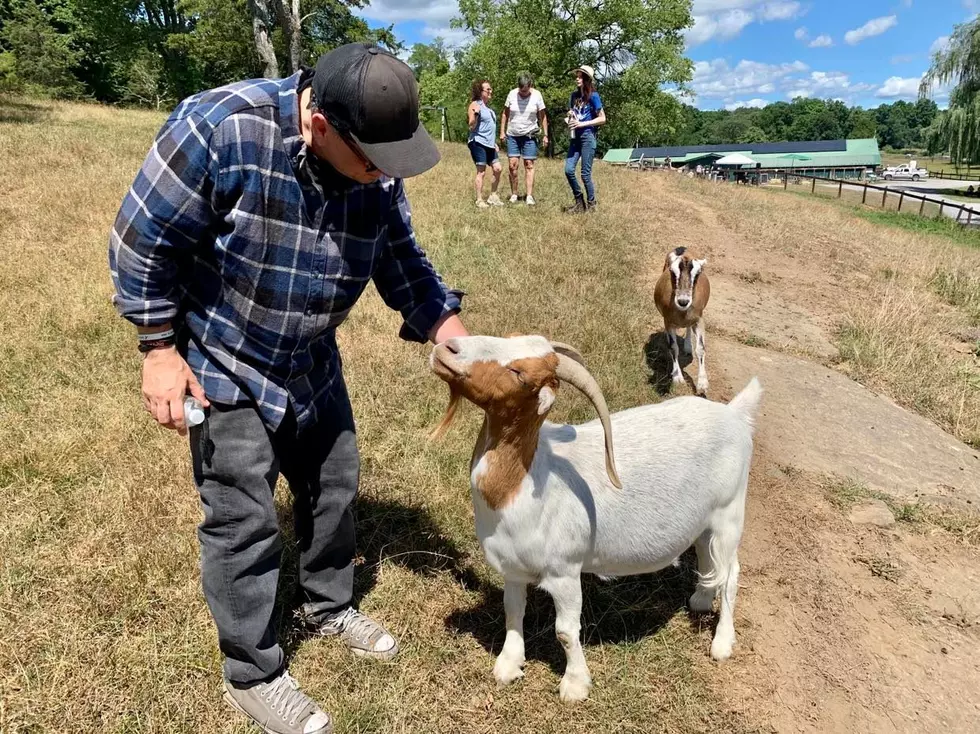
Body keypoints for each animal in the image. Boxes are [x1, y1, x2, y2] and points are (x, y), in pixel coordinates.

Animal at [432, 336, 760, 704]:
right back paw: (700, 601)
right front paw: (508, 665)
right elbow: (513, 610)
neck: (527, 482)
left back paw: (722, 643)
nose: (447, 348)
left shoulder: (565, 571)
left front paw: (575, 685)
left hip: (730, 513)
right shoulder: (512, 568)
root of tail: (733, 414)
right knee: (707, 558)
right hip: (705, 520)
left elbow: (565, 631)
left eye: (520, 374)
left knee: (731, 574)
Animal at [656, 247, 708, 396]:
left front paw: (702, 384)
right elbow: (673, 347)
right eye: (672, 272)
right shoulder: (668, 322)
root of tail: (683, 249)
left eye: (697, 274)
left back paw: (688, 346)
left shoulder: (699, 320)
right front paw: (677, 378)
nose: (683, 301)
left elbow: (700, 348)